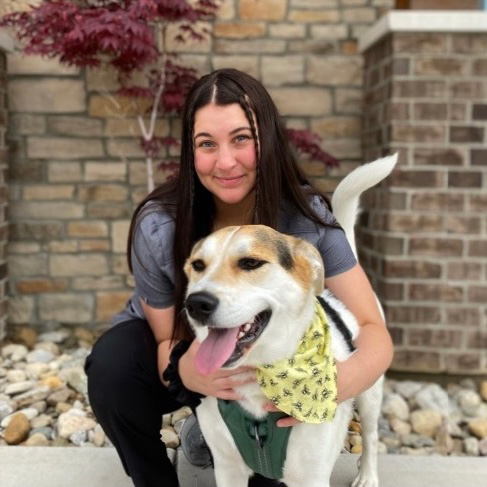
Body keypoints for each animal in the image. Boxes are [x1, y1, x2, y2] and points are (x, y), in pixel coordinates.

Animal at [185, 156, 398, 487]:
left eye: (251, 262)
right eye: (198, 265)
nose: (196, 304)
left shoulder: (311, 475)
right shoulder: (227, 467)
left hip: (370, 390)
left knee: (372, 435)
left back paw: (368, 474)